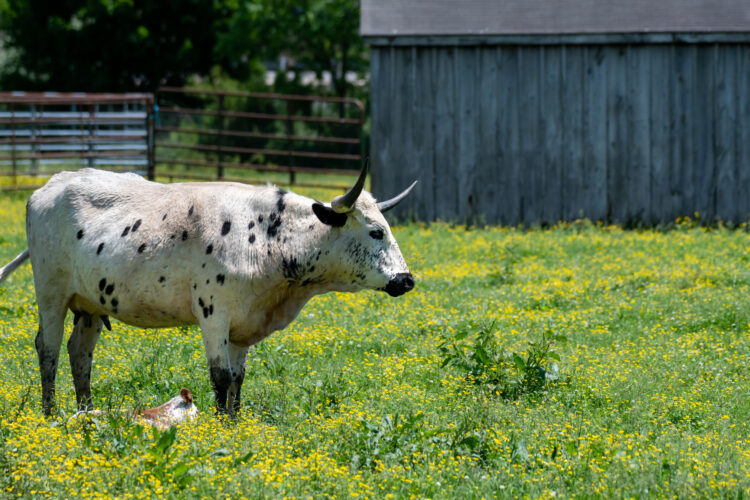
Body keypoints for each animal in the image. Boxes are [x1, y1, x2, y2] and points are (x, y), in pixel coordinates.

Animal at [0, 164, 416, 416]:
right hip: (51, 294)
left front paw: (233, 423)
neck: (267, 237)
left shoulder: (243, 327)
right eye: (375, 232)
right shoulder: (214, 316)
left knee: (79, 353)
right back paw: (50, 413)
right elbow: (221, 377)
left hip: (89, 304)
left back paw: (85, 411)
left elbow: (238, 379)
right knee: (49, 349)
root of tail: (51, 185)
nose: (406, 279)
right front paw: (218, 428)